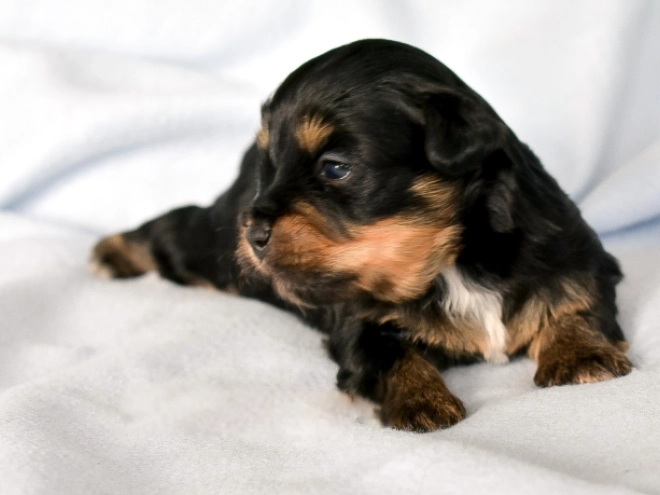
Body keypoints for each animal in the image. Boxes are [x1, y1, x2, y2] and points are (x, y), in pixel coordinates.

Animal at [91, 39, 632, 432]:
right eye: (273, 167)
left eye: (335, 168)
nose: (254, 229)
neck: (451, 261)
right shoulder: (358, 321)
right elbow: (390, 356)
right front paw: (422, 402)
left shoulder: (573, 253)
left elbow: (577, 300)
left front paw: (581, 356)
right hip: (215, 247)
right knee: (171, 230)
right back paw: (112, 252)